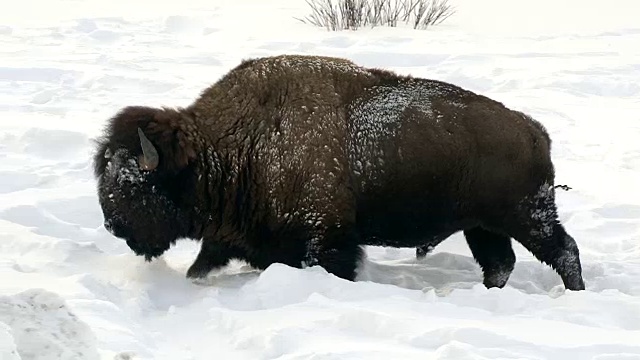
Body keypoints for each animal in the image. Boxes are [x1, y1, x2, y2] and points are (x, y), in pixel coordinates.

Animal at [92, 54, 588, 290]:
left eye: (134, 184)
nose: (113, 225)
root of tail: (534, 130)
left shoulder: (325, 238)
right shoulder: (231, 237)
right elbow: (202, 264)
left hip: (525, 216)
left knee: (563, 250)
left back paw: (574, 293)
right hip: (482, 226)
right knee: (500, 263)